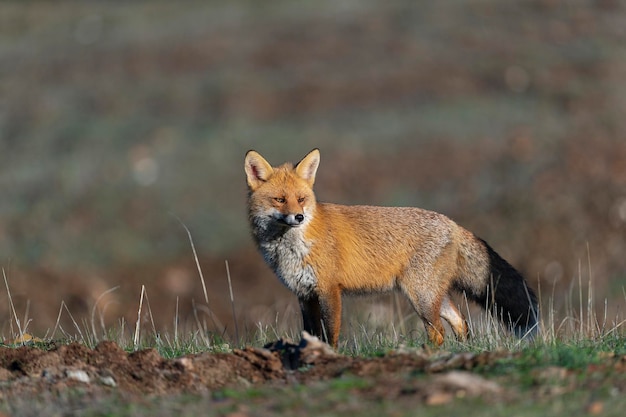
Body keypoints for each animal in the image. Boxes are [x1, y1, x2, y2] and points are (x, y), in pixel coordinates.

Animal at [244, 148, 536, 346]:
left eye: (301, 199)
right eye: (280, 199)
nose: (299, 217)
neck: (291, 248)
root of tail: (452, 223)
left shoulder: (329, 290)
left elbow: (330, 334)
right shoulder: (304, 295)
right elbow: (310, 333)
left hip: (420, 295)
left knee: (438, 332)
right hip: (432, 295)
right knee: (460, 322)